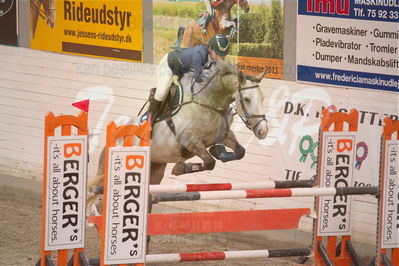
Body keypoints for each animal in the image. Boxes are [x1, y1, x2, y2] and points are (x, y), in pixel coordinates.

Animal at [87, 59, 268, 214]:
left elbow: (239, 151)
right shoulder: (190, 141)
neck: (209, 104)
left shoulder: (223, 136)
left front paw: (218, 152)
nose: (263, 131)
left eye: (263, 98)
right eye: (246, 99)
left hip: (155, 170)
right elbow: (209, 162)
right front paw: (180, 167)